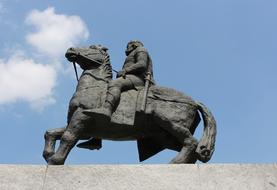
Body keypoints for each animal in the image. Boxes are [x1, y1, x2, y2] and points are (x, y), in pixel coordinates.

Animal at [43, 43, 216, 164]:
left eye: (91, 47)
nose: (70, 49)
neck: (94, 87)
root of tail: (194, 101)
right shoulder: (83, 127)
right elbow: (51, 132)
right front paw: (48, 154)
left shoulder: (81, 117)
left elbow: (68, 137)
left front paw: (55, 160)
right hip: (162, 135)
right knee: (188, 147)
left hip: (171, 123)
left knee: (191, 142)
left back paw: (174, 162)